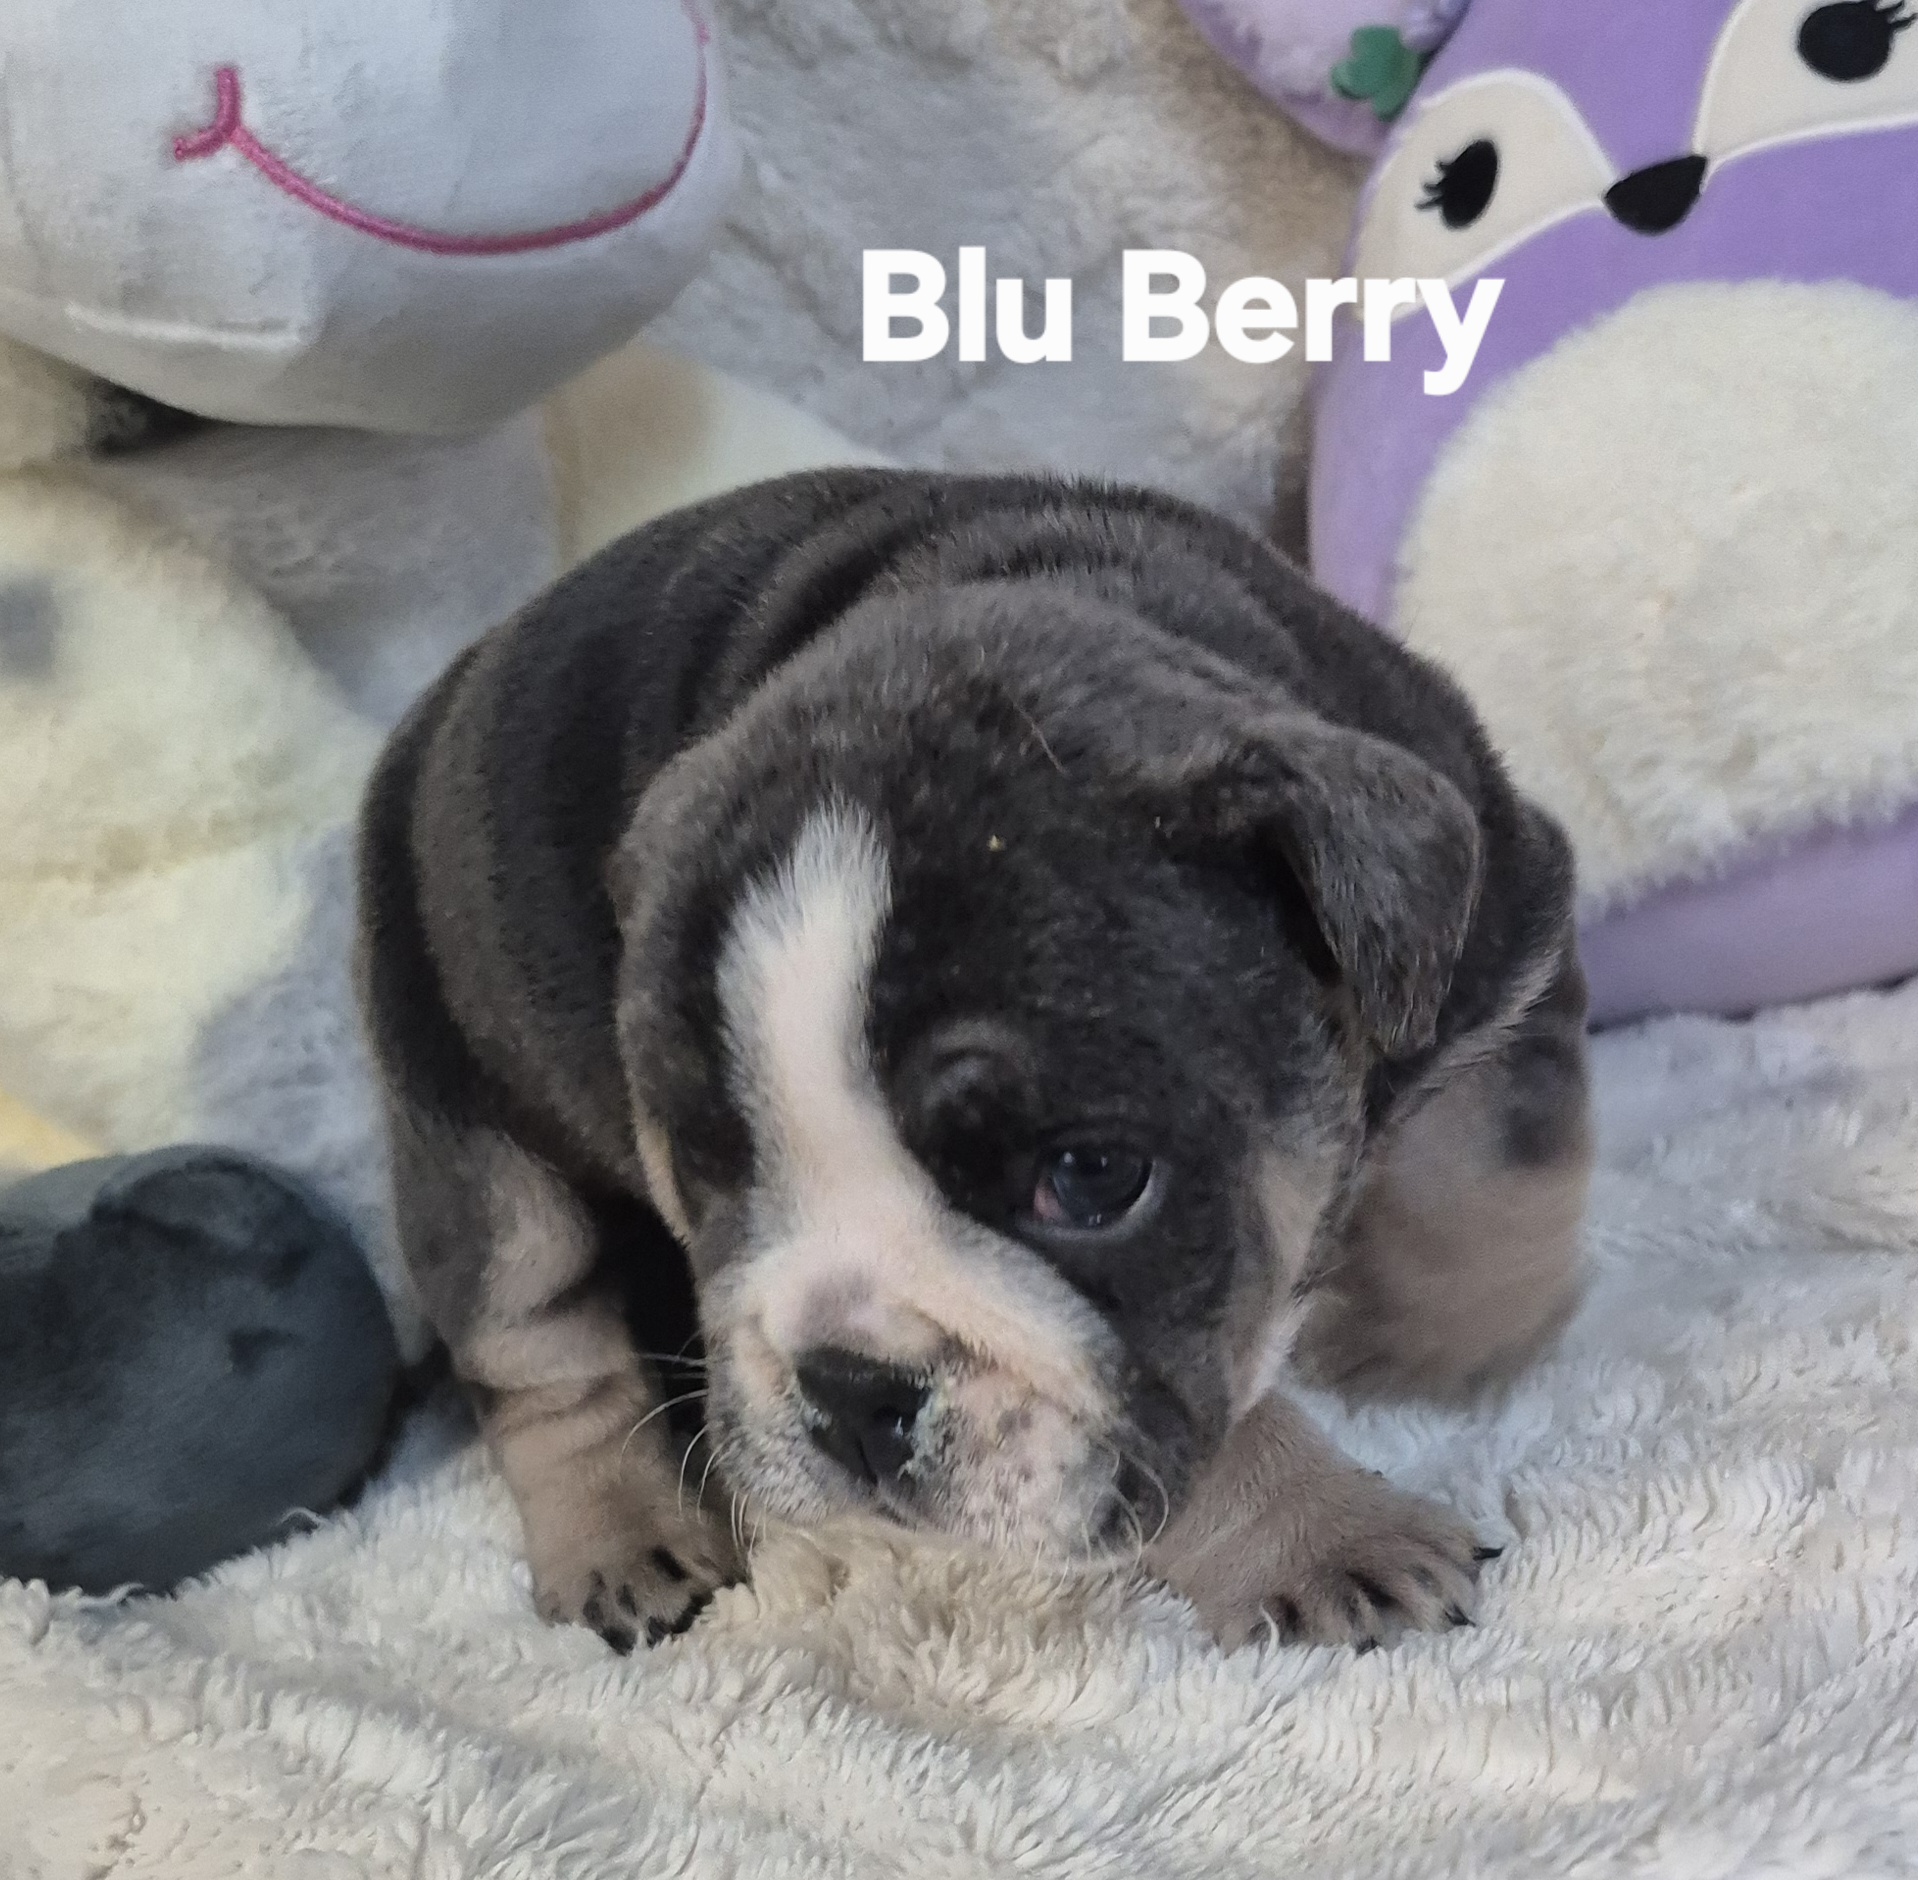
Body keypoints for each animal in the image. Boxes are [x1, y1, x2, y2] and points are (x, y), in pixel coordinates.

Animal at [356, 469, 1590, 1653]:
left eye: (1090, 1176)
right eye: (706, 1174)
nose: (851, 1388)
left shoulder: (1491, 925)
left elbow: (1494, 1150)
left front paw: (1439, 1333)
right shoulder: (1135, 1388)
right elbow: (1195, 1432)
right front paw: (1324, 1534)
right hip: (461, 1119)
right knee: (537, 1344)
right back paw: (621, 1537)